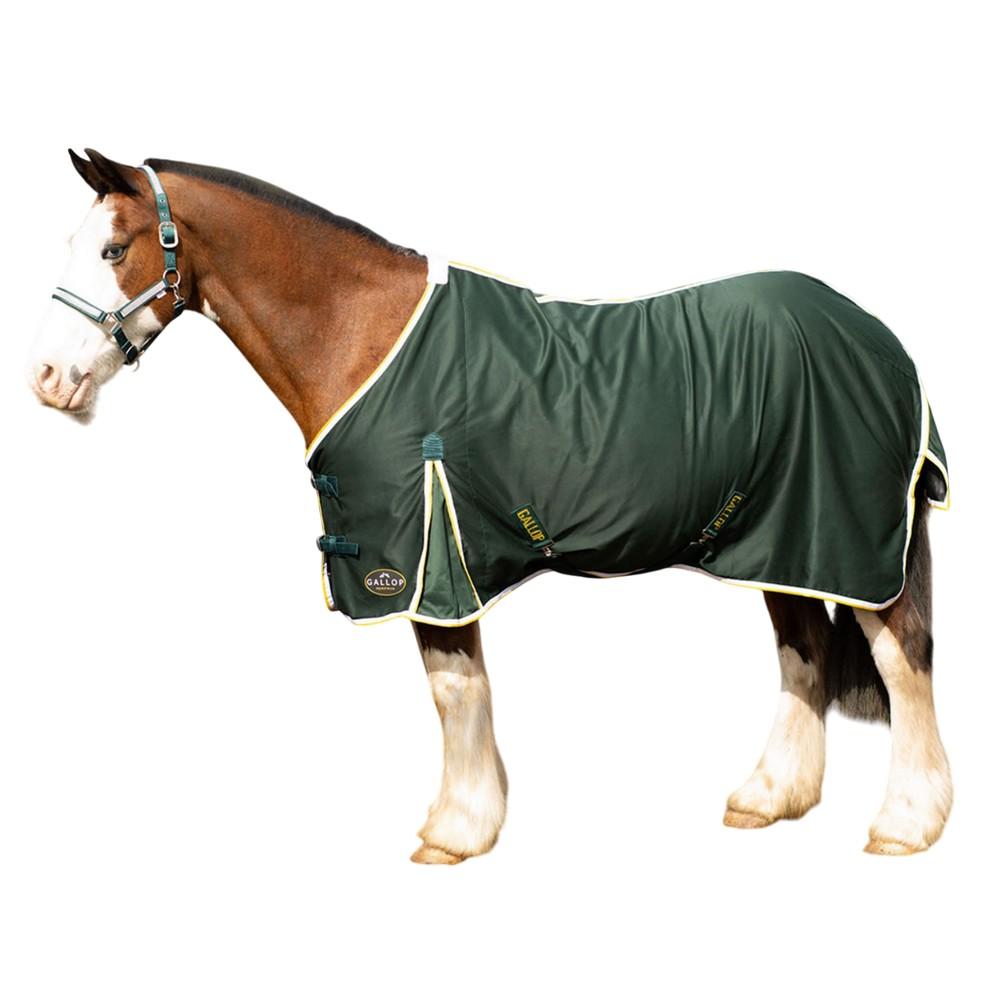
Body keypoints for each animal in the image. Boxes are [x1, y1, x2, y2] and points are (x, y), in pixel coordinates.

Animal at [28, 148, 952, 863]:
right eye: (76, 243)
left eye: (113, 248)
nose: (47, 380)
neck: (365, 335)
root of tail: (879, 338)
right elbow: (460, 692)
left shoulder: (426, 560)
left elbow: (453, 692)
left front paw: (456, 831)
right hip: (784, 541)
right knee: (803, 652)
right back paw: (768, 798)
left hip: (851, 541)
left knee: (902, 659)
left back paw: (906, 826)